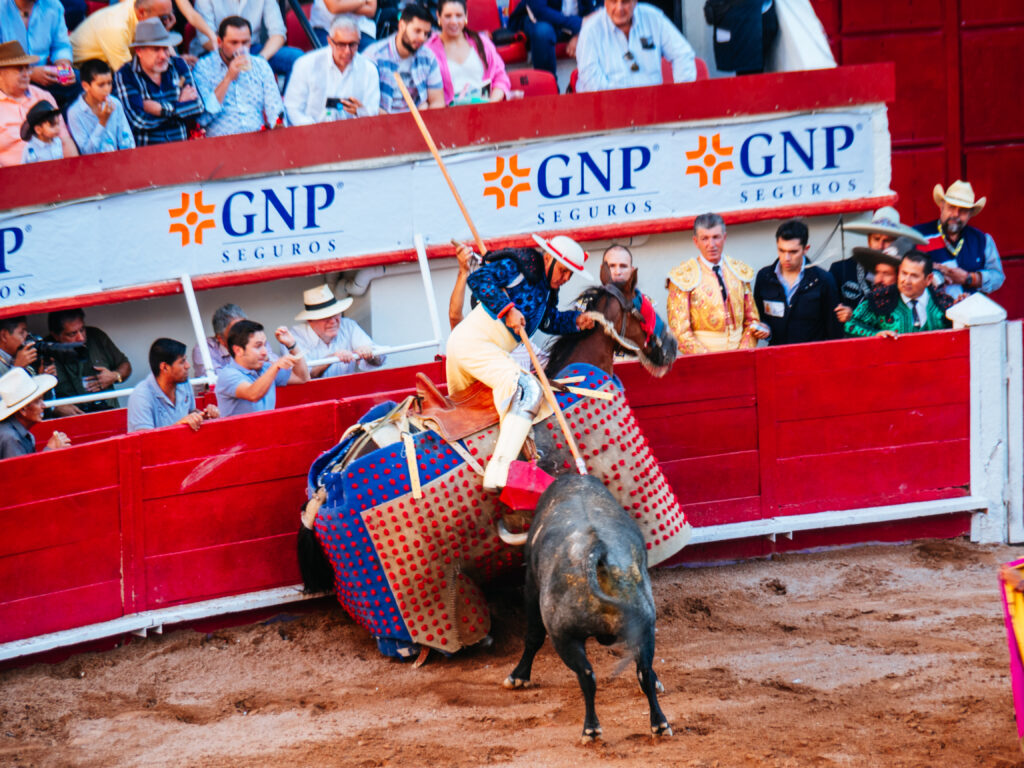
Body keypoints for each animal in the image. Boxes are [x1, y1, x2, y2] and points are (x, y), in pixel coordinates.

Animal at [503, 479, 671, 741]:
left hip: (564, 636)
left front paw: (518, 677)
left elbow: (533, 636)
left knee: (586, 675)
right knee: (643, 670)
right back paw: (660, 724)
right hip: (645, 625)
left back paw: (591, 730)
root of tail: (596, 549)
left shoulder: (531, 584)